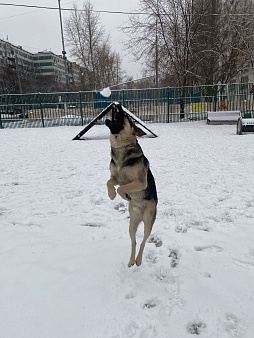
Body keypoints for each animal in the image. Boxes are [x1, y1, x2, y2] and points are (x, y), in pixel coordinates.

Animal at [104, 104, 157, 268]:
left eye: (127, 117)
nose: (117, 104)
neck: (121, 148)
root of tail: (140, 216)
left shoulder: (140, 182)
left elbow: (122, 188)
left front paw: (123, 196)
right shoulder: (116, 178)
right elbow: (109, 182)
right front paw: (111, 195)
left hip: (148, 222)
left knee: (143, 241)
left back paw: (138, 260)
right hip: (131, 224)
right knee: (134, 241)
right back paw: (131, 260)